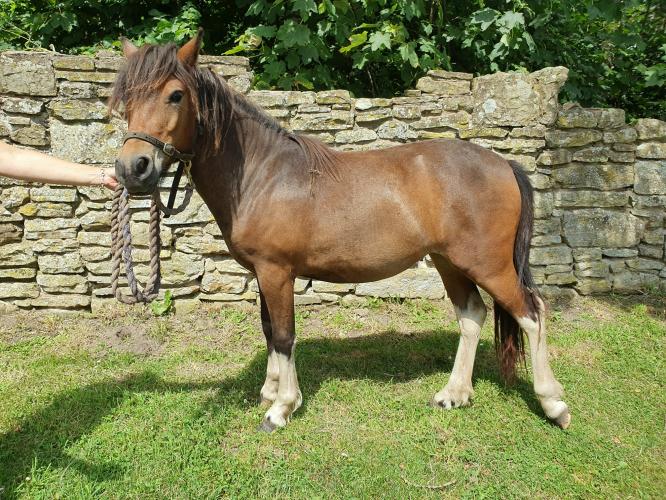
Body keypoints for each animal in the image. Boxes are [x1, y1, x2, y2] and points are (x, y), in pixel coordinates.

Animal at [111, 30, 570, 432]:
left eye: (175, 94)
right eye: (126, 99)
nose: (134, 168)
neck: (263, 174)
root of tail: (504, 164)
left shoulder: (277, 272)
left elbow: (284, 334)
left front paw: (281, 407)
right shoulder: (262, 273)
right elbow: (269, 331)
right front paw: (270, 391)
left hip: (488, 264)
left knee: (532, 312)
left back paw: (554, 404)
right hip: (449, 262)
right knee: (473, 315)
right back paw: (454, 394)